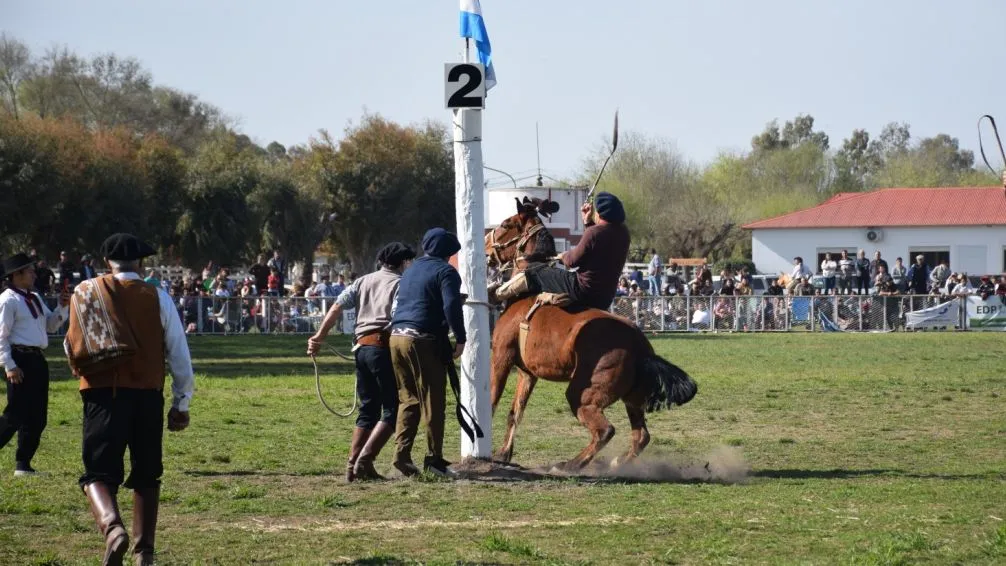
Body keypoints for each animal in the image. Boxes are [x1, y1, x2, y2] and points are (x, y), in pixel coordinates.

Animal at [486, 197, 700, 472]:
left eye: (505, 224)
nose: (486, 245)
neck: (525, 296)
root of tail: (641, 347)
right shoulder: (527, 373)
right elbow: (516, 411)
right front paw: (504, 453)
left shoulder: (501, 356)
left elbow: (492, 400)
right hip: (632, 398)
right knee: (641, 436)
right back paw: (619, 464)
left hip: (582, 394)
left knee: (605, 430)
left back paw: (569, 465)